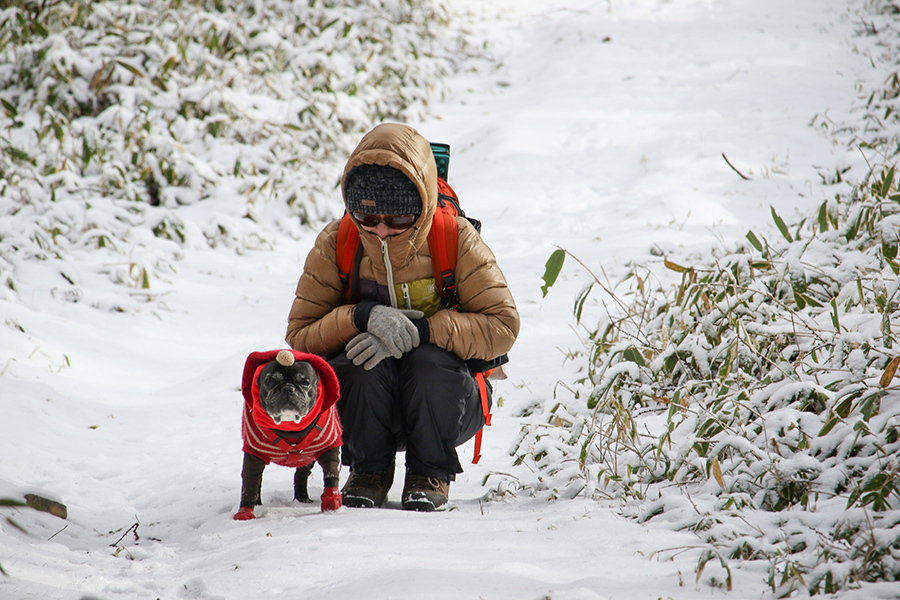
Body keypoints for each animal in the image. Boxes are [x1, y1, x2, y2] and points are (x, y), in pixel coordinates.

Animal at [234, 350, 342, 516]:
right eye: (270, 382)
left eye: (305, 382)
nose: (287, 388)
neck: (289, 425)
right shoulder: (254, 454)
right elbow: (250, 484)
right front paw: (245, 511)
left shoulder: (328, 448)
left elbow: (331, 473)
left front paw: (332, 501)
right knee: (257, 480)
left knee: (301, 474)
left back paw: (302, 498)